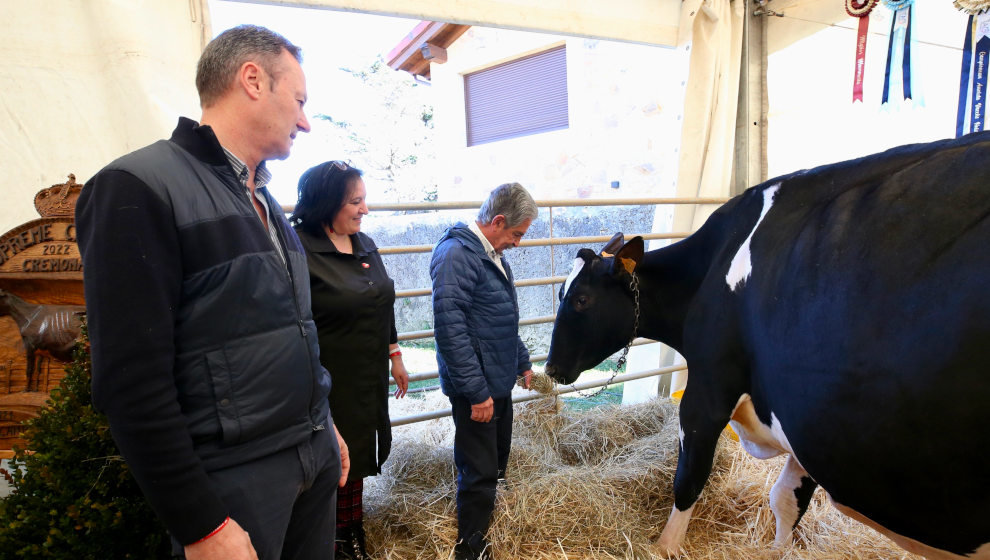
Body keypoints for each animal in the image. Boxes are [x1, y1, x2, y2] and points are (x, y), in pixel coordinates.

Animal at [548, 132, 988, 560]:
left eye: (581, 299)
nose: (551, 367)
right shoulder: (802, 422)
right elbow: (786, 499)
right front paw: (778, 549)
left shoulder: (708, 389)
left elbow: (689, 478)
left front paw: (664, 547)